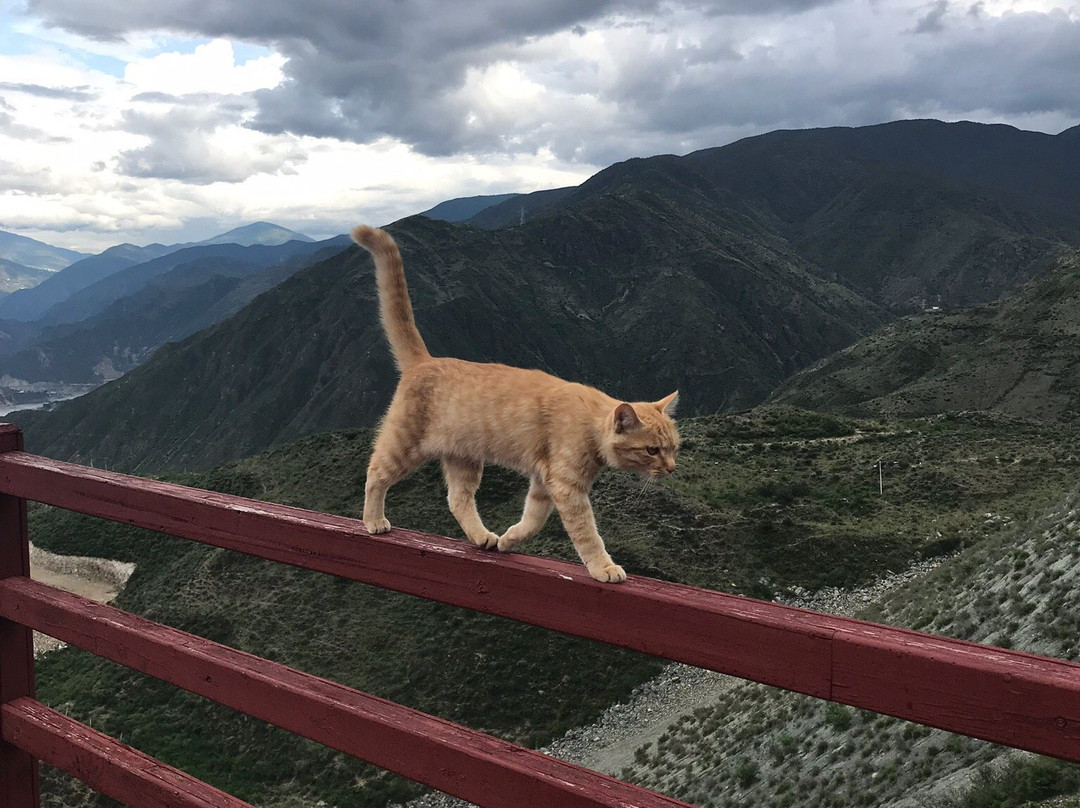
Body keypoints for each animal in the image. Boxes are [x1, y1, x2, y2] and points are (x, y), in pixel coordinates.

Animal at [349, 223, 678, 583]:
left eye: (674, 447)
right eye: (652, 450)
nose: (671, 468)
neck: (591, 423)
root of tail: (424, 360)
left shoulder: (544, 484)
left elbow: (532, 521)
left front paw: (509, 540)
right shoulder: (567, 487)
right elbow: (587, 534)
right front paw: (604, 566)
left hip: (464, 458)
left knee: (458, 499)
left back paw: (482, 537)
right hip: (405, 444)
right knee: (375, 472)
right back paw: (373, 519)